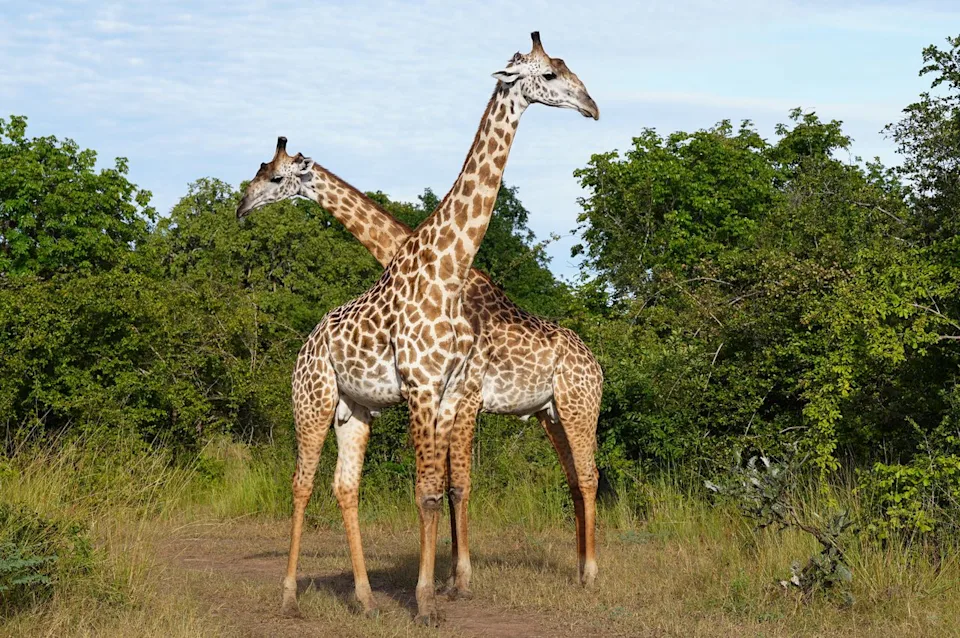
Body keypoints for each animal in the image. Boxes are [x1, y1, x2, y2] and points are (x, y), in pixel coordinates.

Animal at [237, 32, 599, 624]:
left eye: (274, 176)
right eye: (548, 75)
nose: (592, 107)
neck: (443, 267)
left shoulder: (452, 393)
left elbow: (442, 487)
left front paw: (440, 589)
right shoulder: (427, 389)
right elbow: (436, 488)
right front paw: (438, 593)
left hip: (562, 407)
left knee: (582, 476)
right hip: (318, 401)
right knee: (307, 483)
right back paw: (296, 595)